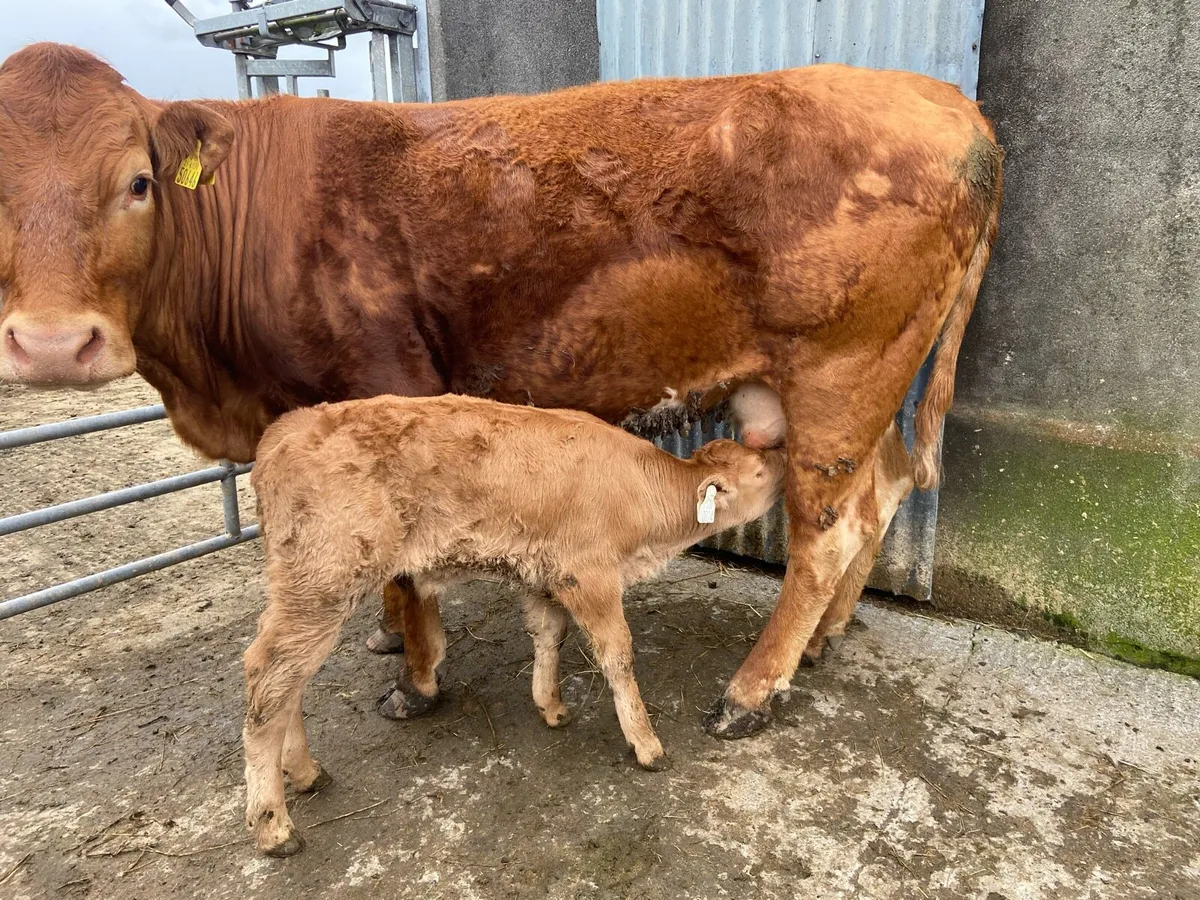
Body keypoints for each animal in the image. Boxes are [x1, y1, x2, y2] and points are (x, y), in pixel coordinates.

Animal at [0, 42, 1002, 739]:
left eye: (137, 183)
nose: (52, 344)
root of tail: (949, 102)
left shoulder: (389, 389)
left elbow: (407, 570)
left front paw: (415, 678)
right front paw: (383, 635)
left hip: (841, 376)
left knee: (825, 537)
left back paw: (751, 692)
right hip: (841, 395)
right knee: (879, 498)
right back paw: (825, 642)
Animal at [246, 393, 788, 856]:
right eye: (760, 470)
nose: (786, 459)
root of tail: (282, 431)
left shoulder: (545, 576)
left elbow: (549, 635)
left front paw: (551, 704)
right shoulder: (589, 576)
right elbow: (618, 655)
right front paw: (646, 744)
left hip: (308, 593)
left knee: (287, 684)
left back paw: (304, 772)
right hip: (322, 584)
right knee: (267, 680)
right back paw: (274, 824)